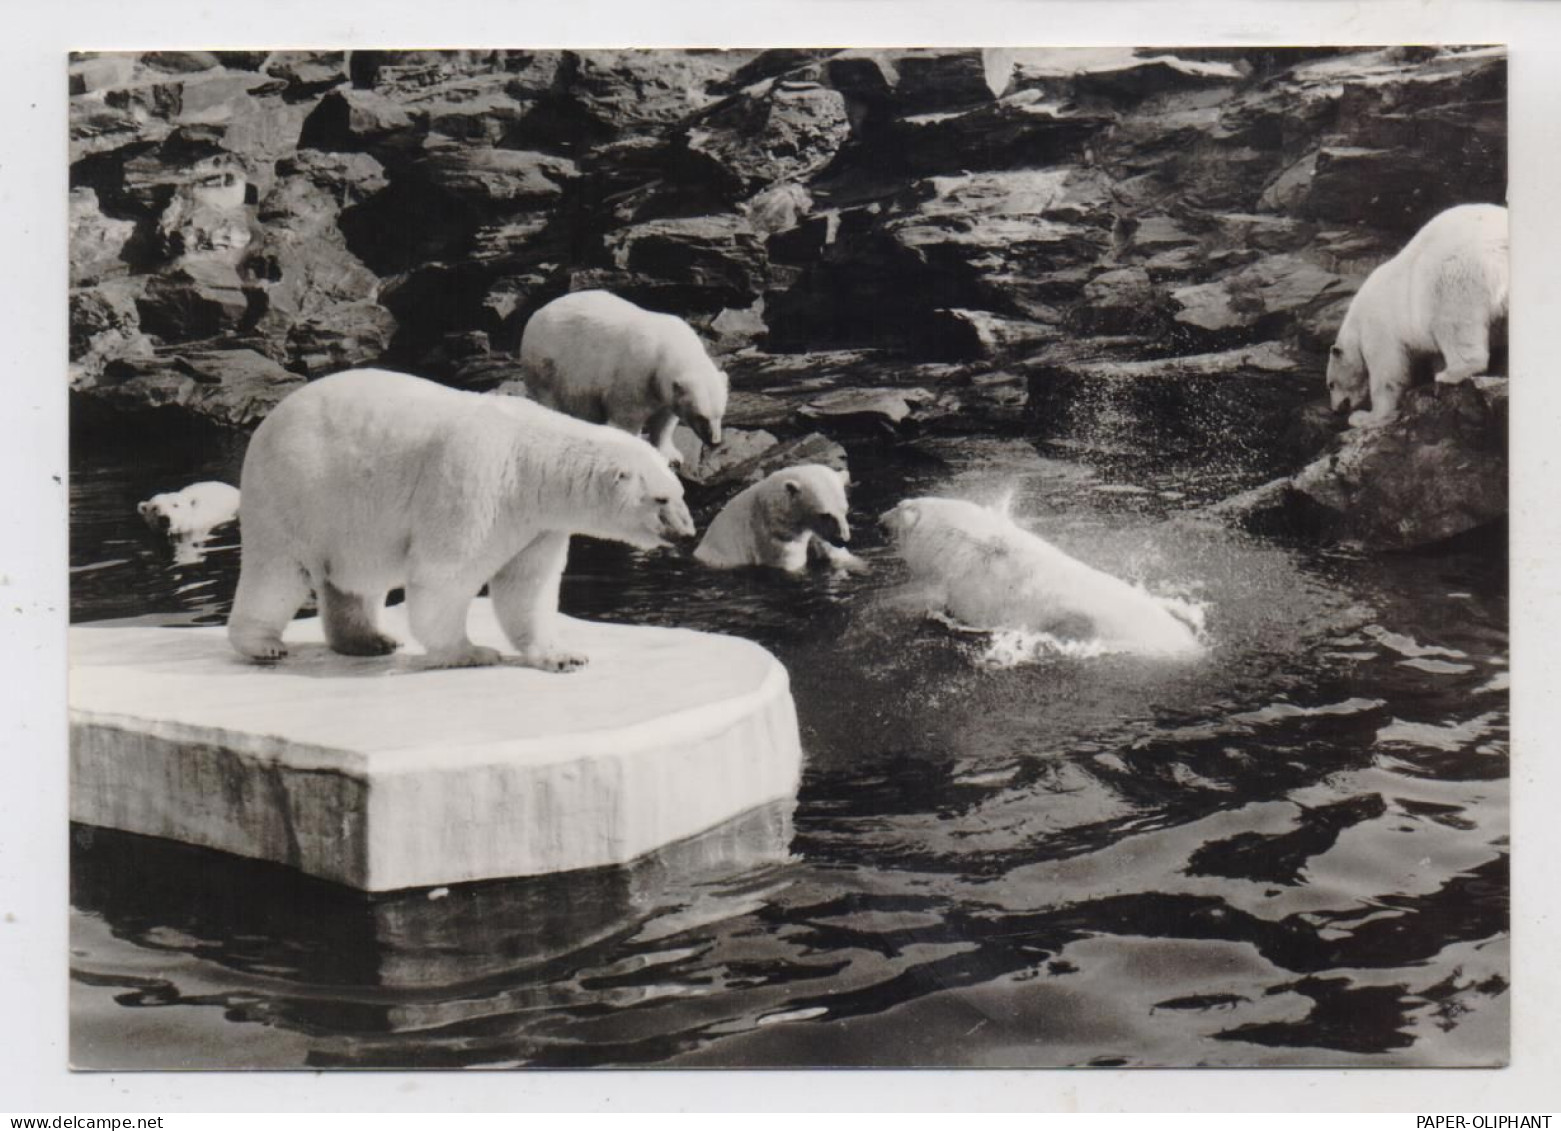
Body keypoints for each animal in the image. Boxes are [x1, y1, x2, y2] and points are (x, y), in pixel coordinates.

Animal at [227, 371, 696, 670]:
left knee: (356, 581)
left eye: (681, 493)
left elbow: (528, 586)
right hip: (297, 489)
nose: (686, 531)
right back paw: (263, 646)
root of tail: (269, 421)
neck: (532, 462)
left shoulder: (539, 524)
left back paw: (371, 640)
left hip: (350, 519)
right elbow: (444, 575)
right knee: (278, 571)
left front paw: (563, 655)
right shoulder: (474, 481)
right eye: (660, 498)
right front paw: (471, 653)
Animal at [518, 291, 724, 471]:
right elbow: (627, 419)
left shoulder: (663, 391)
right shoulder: (636, 375)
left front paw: (671, 456)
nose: (715, 441)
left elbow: (665, 419)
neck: (667, 348)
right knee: (552, 398)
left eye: (719, 414)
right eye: (701, 417)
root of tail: (537, 314)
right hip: (550, 364)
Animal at [1323, 198, 1504, 427]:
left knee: (1453, 322)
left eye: (1331, 384)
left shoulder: (1378, 327)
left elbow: (1388, 371)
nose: (1336, 409)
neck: (1356, 320)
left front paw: (1366, 416)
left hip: (1457, 275)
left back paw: (1452, 373)